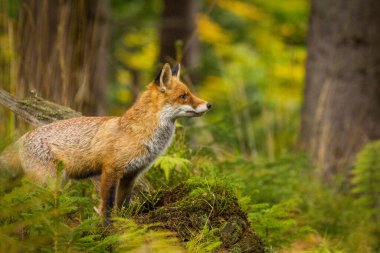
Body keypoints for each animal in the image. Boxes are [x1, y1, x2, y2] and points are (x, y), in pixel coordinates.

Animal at [0, 63, 211, 223]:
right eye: (184, 96)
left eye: (189, 93)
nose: (209, 105)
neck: (137, 133)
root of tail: (23, 137)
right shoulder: (110, 169)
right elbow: (107, 205)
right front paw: (107, 227)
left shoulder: (131, 175)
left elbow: (122, 204)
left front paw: (123, 222)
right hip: (49, 183)